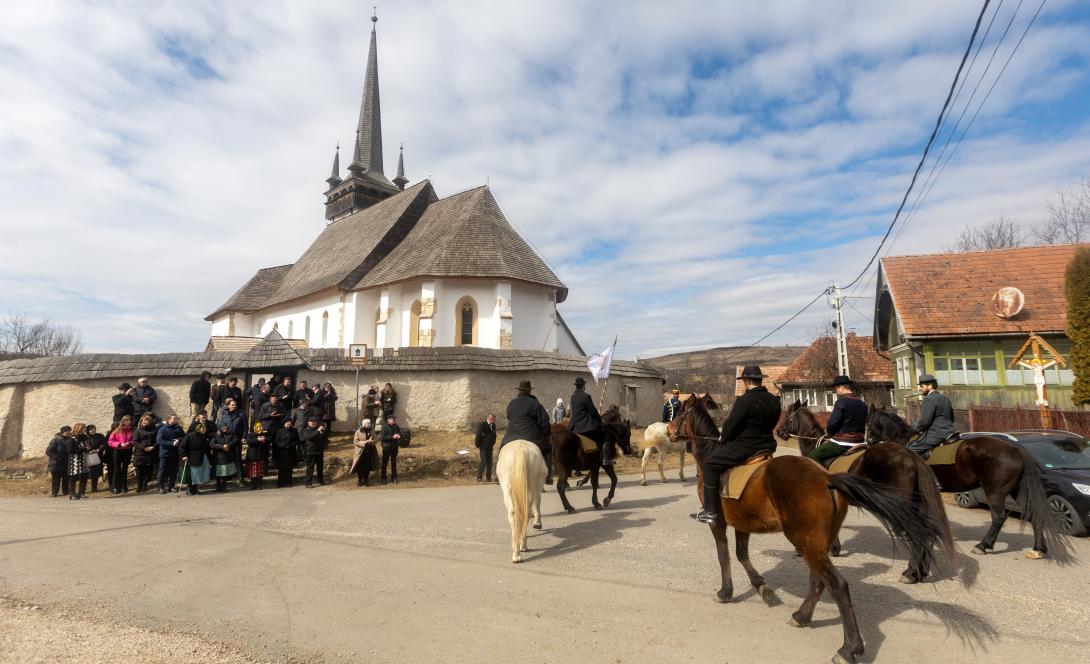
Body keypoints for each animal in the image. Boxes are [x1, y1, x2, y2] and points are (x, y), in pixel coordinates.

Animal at [780, 399, 959, 580]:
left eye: (787, 415)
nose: (779, 432)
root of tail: (912, 456)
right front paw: (834, 548)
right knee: (927, 534)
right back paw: (921, 571)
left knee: (918, 532)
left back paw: (910, 573)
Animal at [867, 405, 1072, 562]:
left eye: (868, 423)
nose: (867, 441)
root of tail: (1015, 449)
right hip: (1018, 490)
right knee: (1033, 514)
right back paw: (1038, 549)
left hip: (995, 491)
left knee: (998, 517)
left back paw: (983, 545)